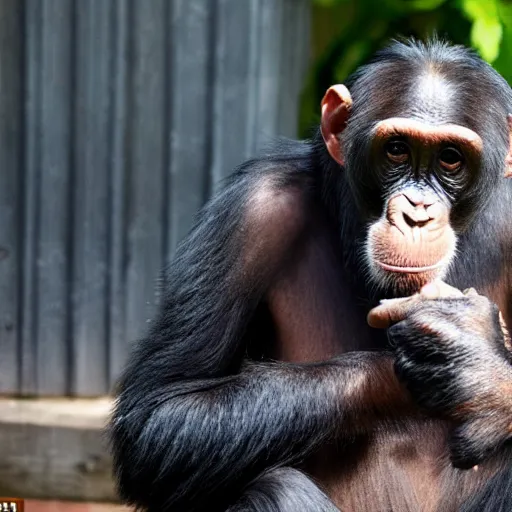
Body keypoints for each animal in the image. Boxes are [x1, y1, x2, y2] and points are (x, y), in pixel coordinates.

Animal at [108, 39, 512, 512]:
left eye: (450, 159)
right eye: (396, 150)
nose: (417, 212)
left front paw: (477, 371)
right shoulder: (249, 210)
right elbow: (159, 412)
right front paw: (437, 356)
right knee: (276, 487)